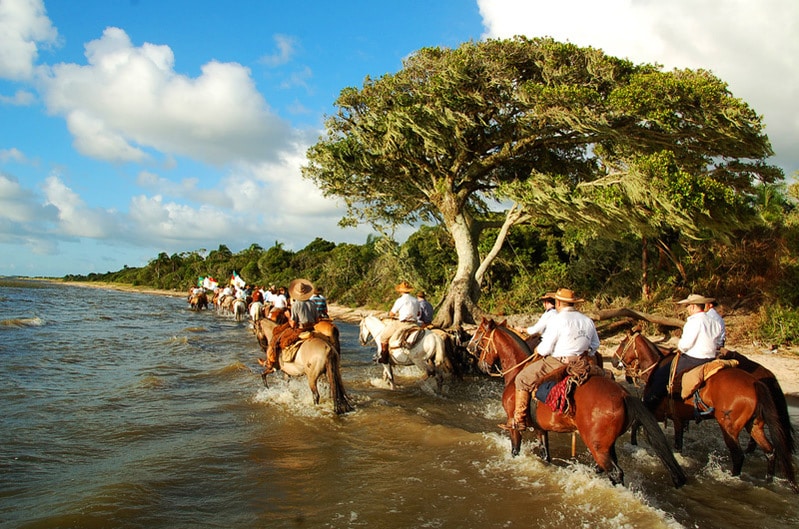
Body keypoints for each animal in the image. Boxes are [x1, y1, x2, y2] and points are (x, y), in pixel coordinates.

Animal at [468, 318, 688, 486]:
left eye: (479, 334)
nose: (470, 348)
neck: (517, 371)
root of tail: (625, 395)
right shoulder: (540, 428)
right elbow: (545, 454)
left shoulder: (513, 424)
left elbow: (515, 450)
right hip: (607, 445)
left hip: (597, 446)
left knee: (615, 473)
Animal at [608, 330, 796, 490]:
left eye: (623, 343)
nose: (614, 361)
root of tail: (756, 382)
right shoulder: (676, 419)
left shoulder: (667, 415)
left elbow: (645, 429)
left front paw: (634, 444)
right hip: (754, 425)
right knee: (770, 451)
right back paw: (769, 480)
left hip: (729, 427)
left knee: (738, 456)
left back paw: (733, 478)